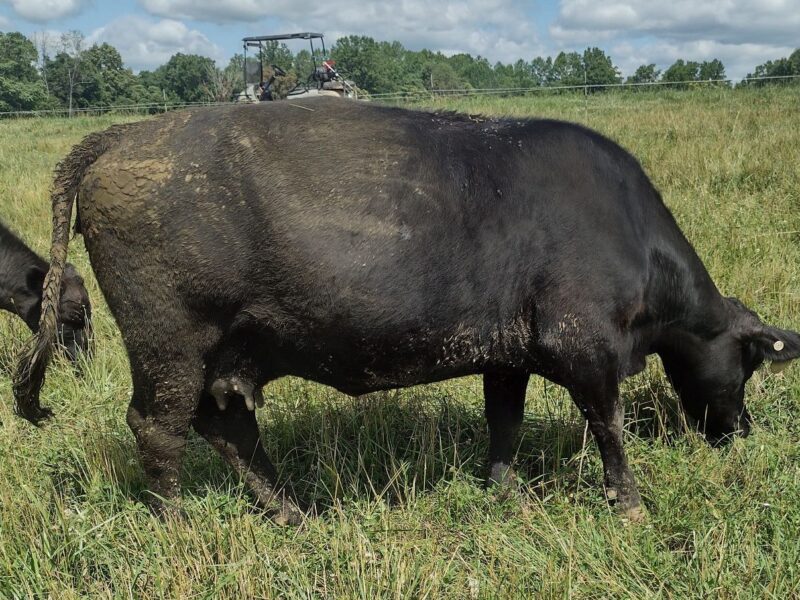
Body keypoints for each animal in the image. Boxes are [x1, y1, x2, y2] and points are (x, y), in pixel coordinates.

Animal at [14, 98, 800, 524]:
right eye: (749, 362)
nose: (742, 432)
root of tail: (123, 135)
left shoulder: (507, 353)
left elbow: (504, 421)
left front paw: (502, 491)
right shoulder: (585, 347)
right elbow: (606, 427)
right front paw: (628, 502)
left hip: (224, 355)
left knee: (227, 427)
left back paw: (290, 511)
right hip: (171, 344)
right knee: (158, 428)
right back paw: (177, 525)